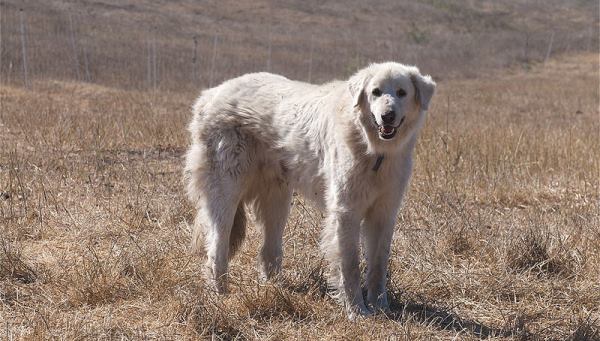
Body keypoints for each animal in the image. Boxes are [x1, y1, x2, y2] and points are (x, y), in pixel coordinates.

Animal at [184, 62, 436, 318]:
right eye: (375, 92)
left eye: (401, 93)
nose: (388, 116)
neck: (373, 149)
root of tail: (210, 94)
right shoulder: (346, 212)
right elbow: (350, 265)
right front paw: (356, 311)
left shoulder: (384, 213)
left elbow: (378, 264)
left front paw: (381, 308)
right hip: (227, 191)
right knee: (217, 247)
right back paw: (220, 293)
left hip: (278, 199)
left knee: (268, 251)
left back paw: (275, 290)